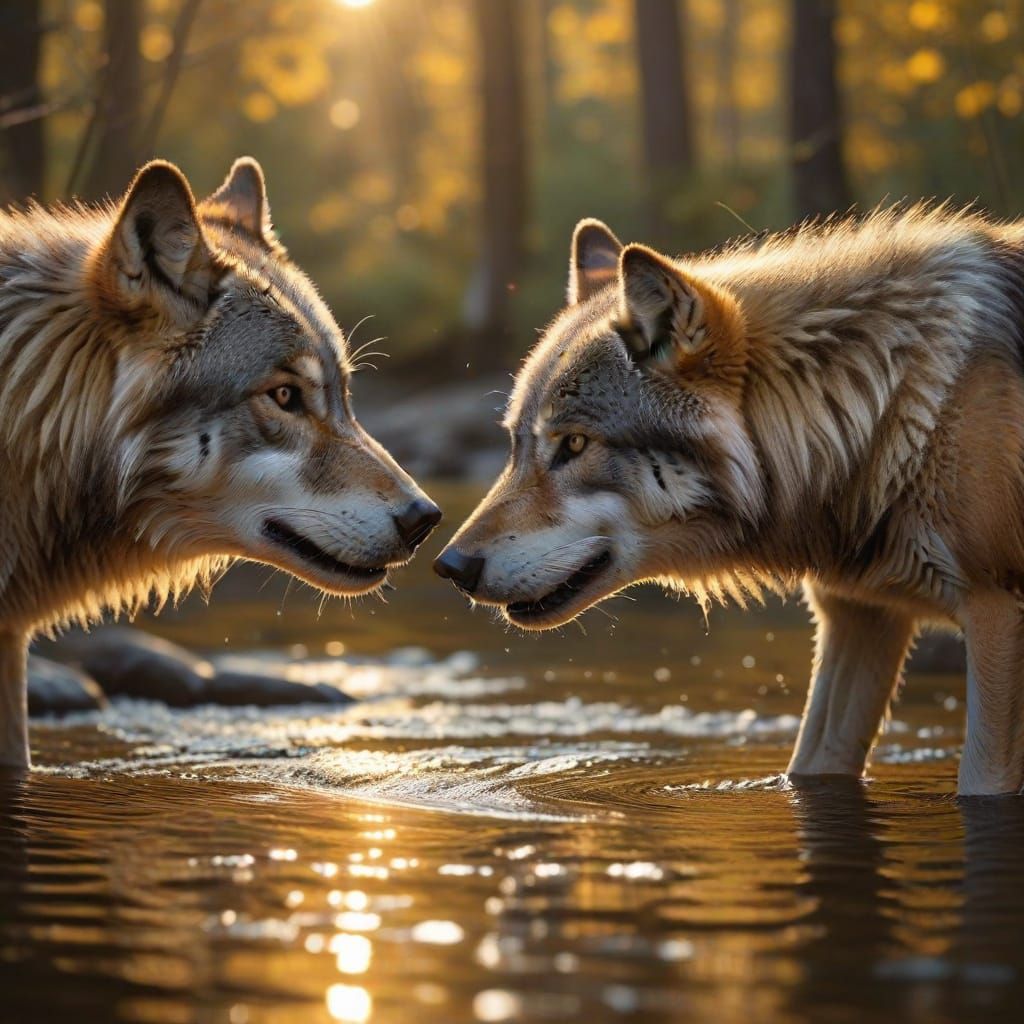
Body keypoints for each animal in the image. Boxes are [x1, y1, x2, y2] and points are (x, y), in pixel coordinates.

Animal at [436, 208, 1024, 796]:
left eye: (575, 444)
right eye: (516, 446)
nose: (451, 566)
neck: (886, 403)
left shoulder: (994, 612)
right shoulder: (858, 614)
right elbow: (810, 762)